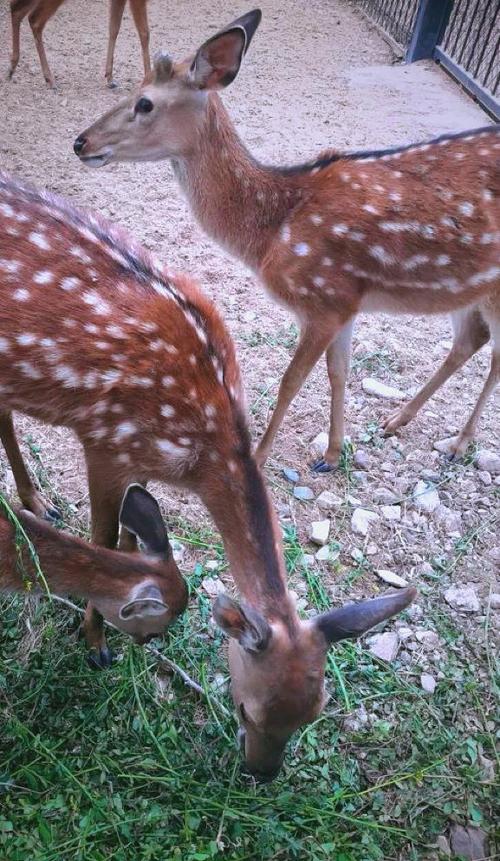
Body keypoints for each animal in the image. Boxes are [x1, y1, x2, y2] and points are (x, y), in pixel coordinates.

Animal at [8, 0, 150, 89]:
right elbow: (145, 34)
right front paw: (148, 78)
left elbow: (114, 28)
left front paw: (109, 77)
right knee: (34, 20)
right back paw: (50, 79)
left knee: (16, 8)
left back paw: (12, 67)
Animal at [74, 9, 500, 474]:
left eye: (145, 102)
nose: (81, 142)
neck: (272, 232)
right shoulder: (345, 301)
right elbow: (339, 371)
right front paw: (331, 454)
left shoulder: (322, 300)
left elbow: (291, 380)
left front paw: (261, 456)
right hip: (467, 290)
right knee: (471, 339)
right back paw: (398, 419)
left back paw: (459, 442)